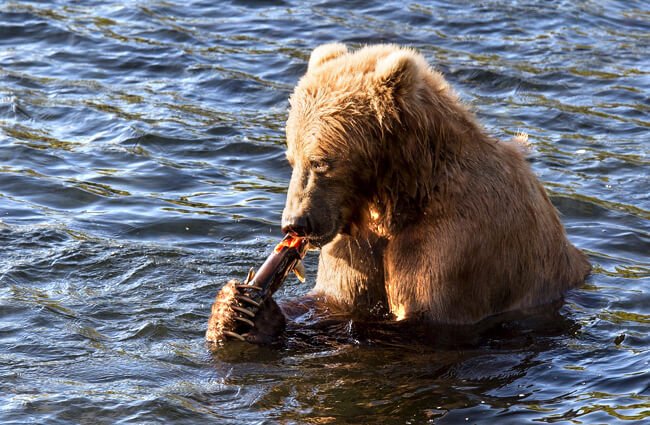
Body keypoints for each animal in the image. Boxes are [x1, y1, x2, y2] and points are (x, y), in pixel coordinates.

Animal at [206, 43, 591, 344]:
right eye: (291, 158)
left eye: (321, 162)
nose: (295, 224)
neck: (400, 196)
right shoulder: (356, 240)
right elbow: (335, 298)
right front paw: (229, 307)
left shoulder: (457, 241)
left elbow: (424, 323)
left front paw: (261, 316)